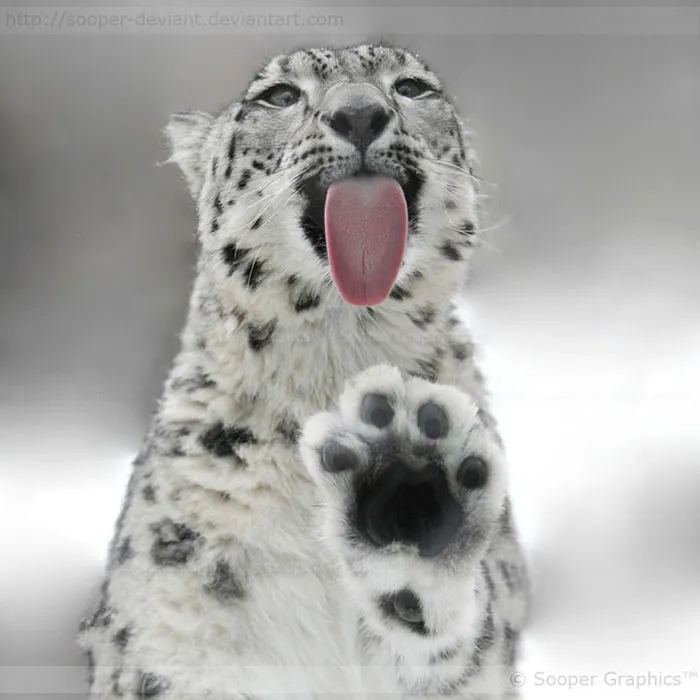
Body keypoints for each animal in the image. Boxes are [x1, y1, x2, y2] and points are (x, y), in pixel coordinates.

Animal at [78, 43, 529, 700]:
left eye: (412, 86)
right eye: (280, 96)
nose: (360, 113)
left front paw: (409, 483)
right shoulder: (169, 636)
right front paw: (399, 474)